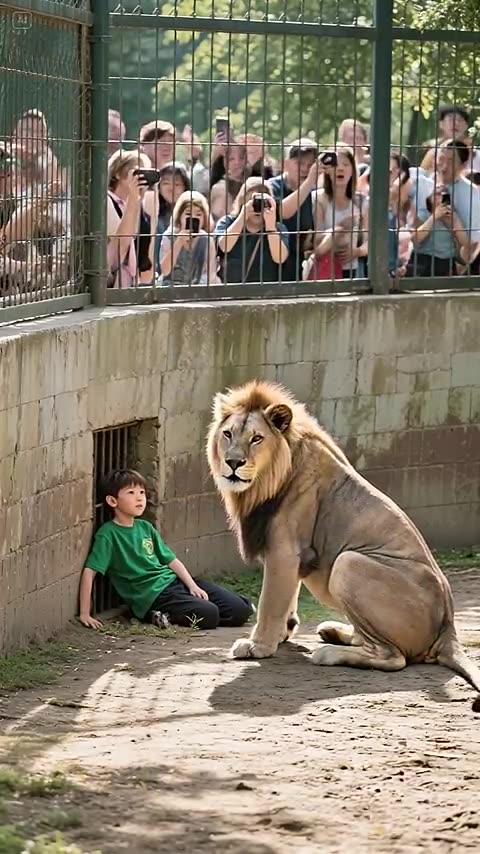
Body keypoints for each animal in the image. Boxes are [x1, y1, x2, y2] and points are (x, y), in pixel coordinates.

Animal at [206, 380, 480, 713]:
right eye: (228, 434)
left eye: (256, 438)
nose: (233, 462)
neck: (267, 479)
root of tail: (448, 626)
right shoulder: (294, 556)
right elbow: (288, 598)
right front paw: (285, 631)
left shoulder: (284, 550)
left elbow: (271, 602)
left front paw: (259, 645)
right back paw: (335, 632)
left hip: (348, 562)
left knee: (394, 657)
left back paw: (328, 653)